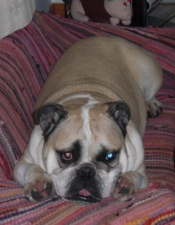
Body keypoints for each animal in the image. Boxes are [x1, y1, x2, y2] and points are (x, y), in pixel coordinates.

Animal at [13, 36, 163, 203]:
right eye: (67, 155)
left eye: (110, 156)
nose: (86, 172)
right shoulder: (23, 162)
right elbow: (32, 168)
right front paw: (38, 183)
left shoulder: (141, 172)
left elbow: (135, 175)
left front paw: (126, 182)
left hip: (151, 76)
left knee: (149, 94)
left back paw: (151, 104)